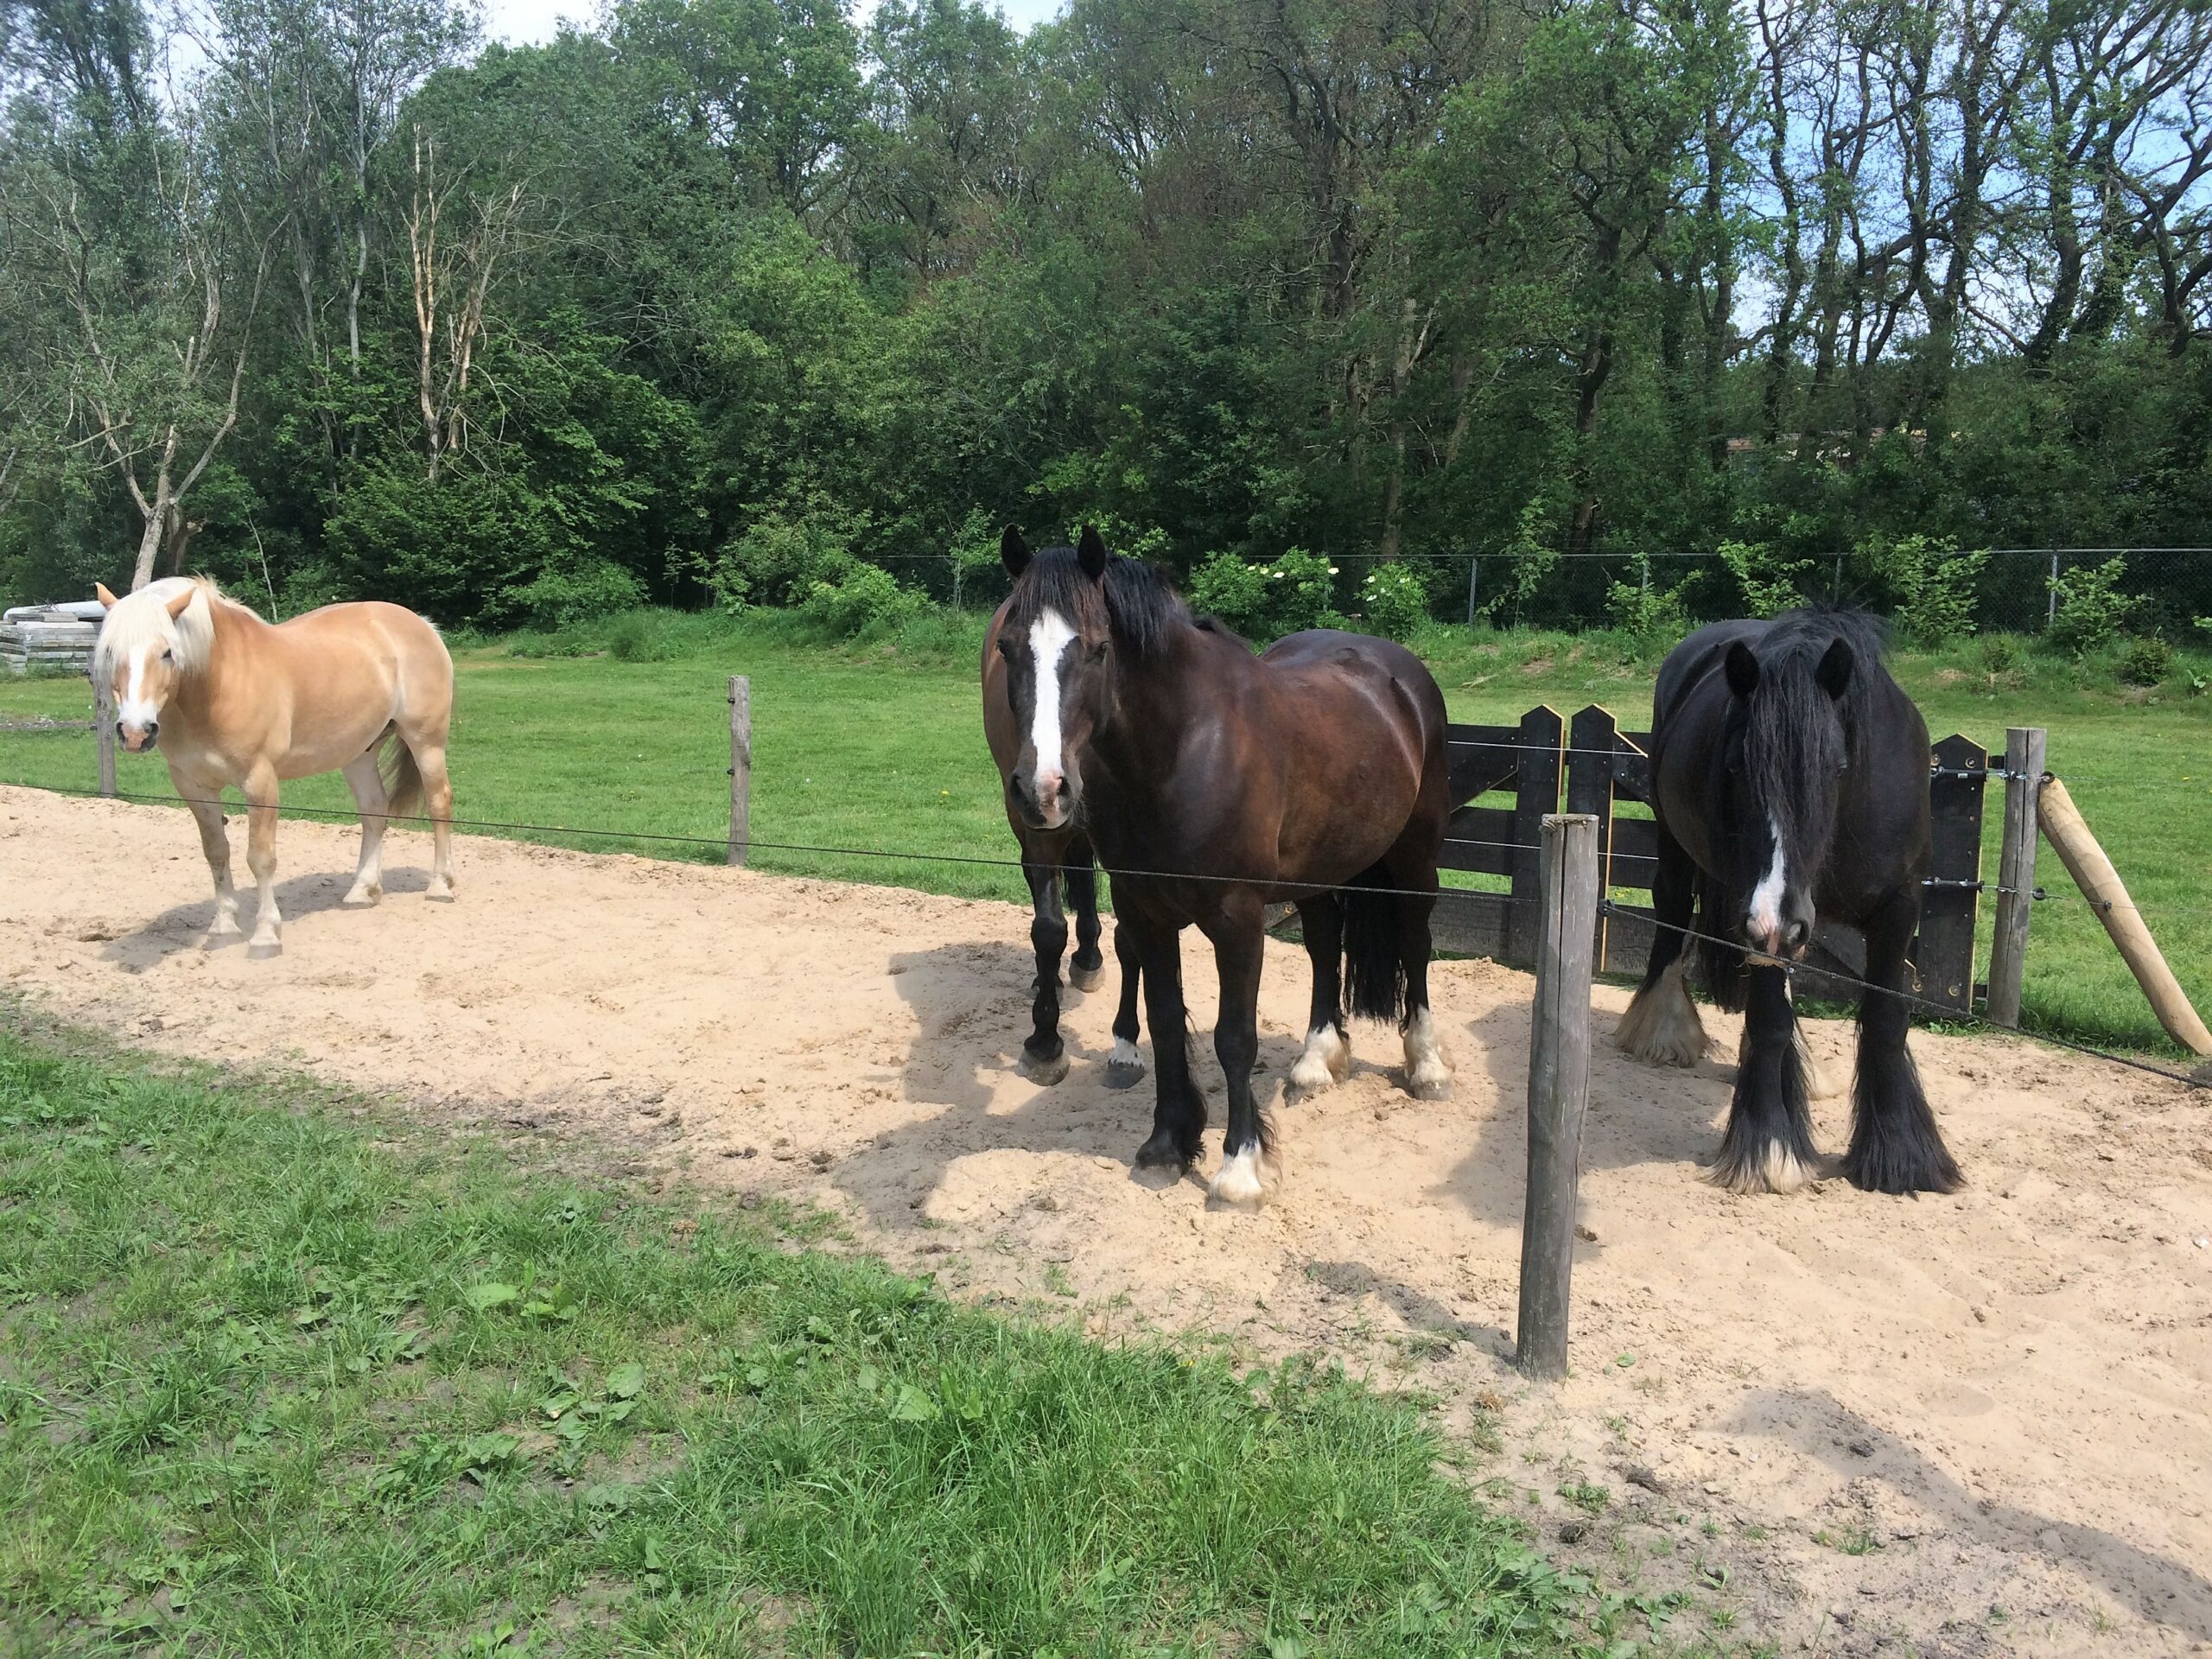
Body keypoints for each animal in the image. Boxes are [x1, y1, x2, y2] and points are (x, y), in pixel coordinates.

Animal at [92, 577, 457, 957]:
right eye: (110, 651)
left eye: (167, 652)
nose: (136, 732)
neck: (220, 685)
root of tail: (422, 624)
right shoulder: (195, 788)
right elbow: (217, 853)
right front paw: (224, 928)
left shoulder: (260, 782)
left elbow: (261, 858)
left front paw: (266, 935)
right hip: (359, 753)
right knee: (374, 811)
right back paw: (362, 891)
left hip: (426, 743)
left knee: (439, 803)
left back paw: (440, 886)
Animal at [983, 544, 1146, 1090]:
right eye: (1007, 648)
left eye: (1101, 648)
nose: (1046, 787)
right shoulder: (1037, 830)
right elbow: (1048, 929)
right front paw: (1044, 1042)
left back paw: (1088, 960)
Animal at [1614, 607, 1960, 1196]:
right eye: (1736, 766)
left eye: (1837, 767)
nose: (1774, 921)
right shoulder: (1764, 926)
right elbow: (1769, 1020)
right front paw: (1770, 1148)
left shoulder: (1897, 910)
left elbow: (1887, 1020)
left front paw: (1900, 1154)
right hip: (1679, 848)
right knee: (1672, 912)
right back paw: (1661, 1032)